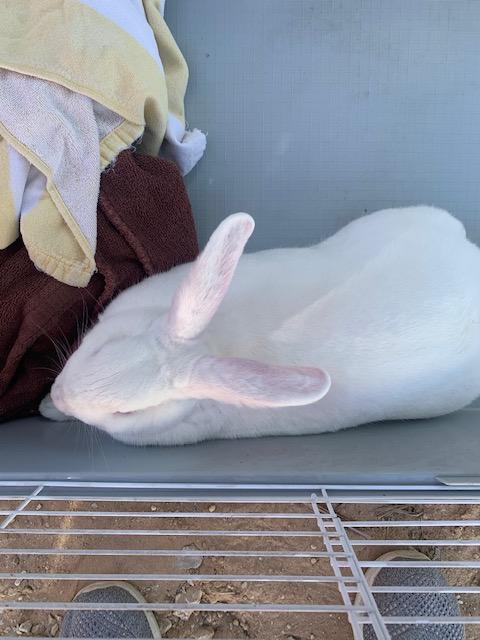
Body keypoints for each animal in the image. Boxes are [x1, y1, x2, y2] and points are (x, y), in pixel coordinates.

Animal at [40, 205, 480, 446]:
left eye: (126, 412)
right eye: (103, 346)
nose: (59, 395)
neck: (211, 344)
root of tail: (466, 252)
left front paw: (47, 410)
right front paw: (48, 406)